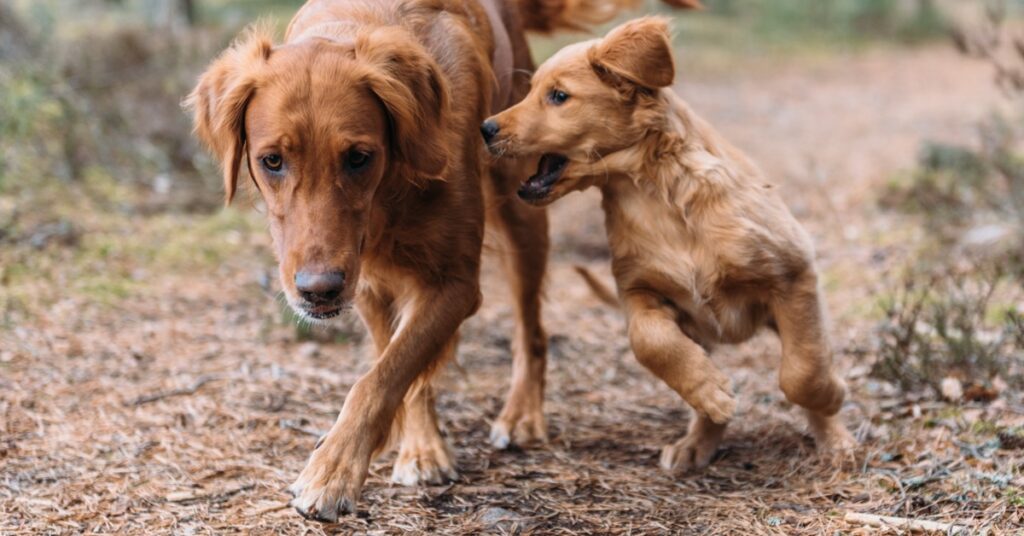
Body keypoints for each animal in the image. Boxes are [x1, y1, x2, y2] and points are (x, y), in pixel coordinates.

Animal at [188, 0, 700, 524]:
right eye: (271, 161)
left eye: (358, 157)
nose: (319, 290)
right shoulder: (368, 282)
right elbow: (398, 367)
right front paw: (419, 447)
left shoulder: (455, 283)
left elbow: (381, 378)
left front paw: (332, 472)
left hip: (523, 210)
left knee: (531, 331)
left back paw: (521, 415)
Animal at [483, 17, 851, 473]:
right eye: (531, 89)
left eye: (558, 96)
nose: (485, 129)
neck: (655, 197)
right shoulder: (640, 292)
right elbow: (650, 342)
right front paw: (712, 393)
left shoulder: (793, 273)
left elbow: (802, 371)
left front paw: (831, 398)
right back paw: (699, 436)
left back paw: (833, 440)